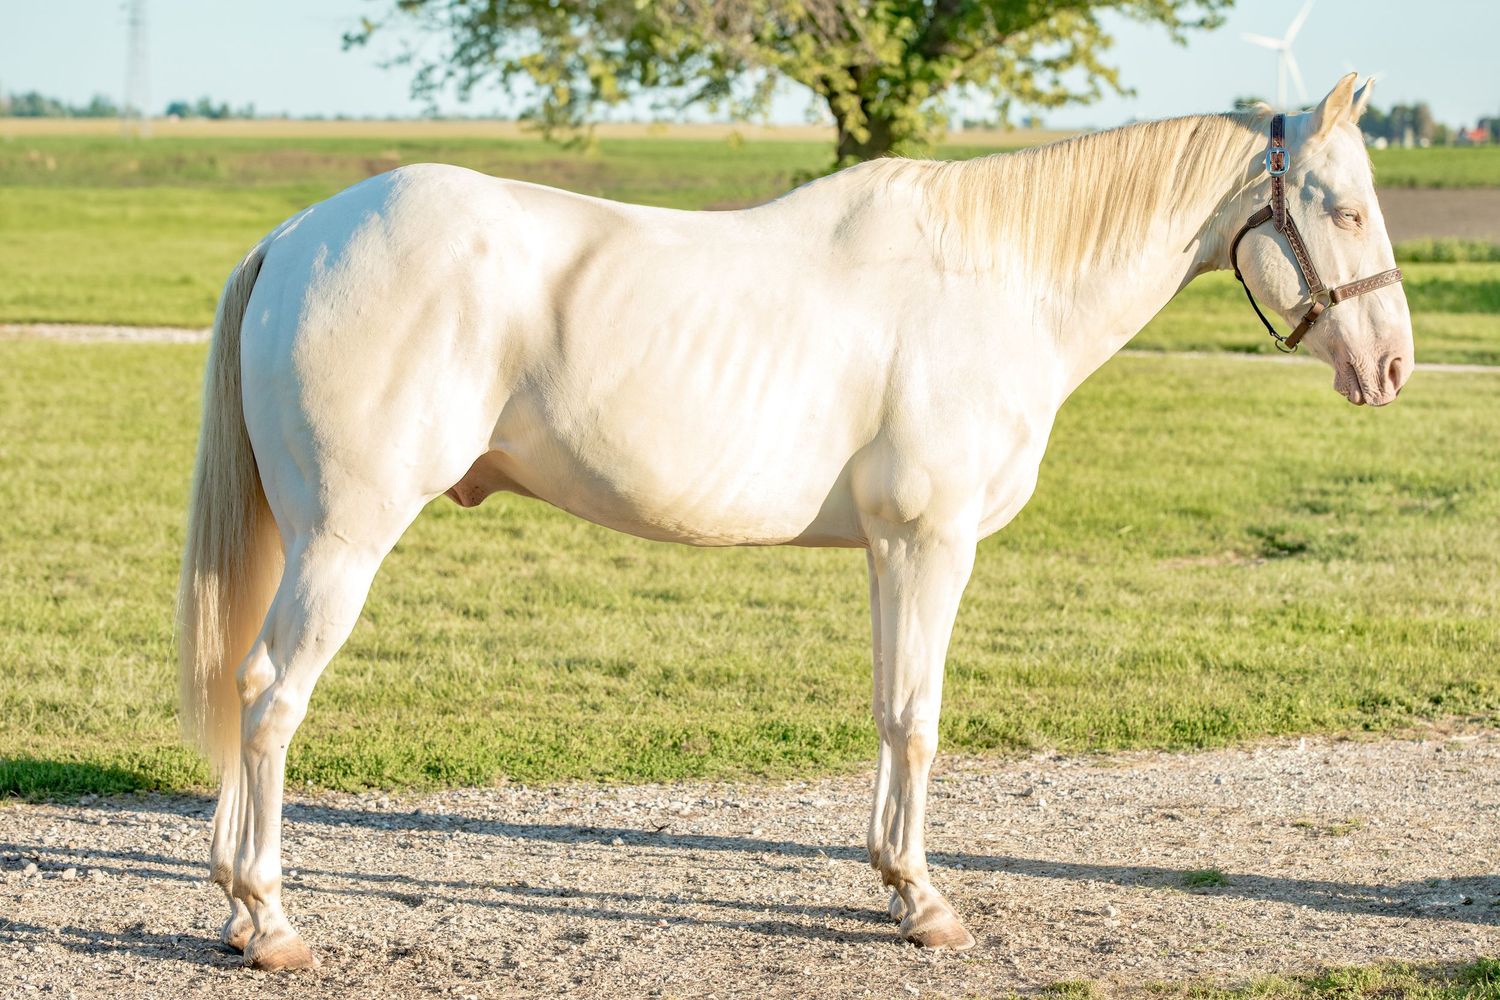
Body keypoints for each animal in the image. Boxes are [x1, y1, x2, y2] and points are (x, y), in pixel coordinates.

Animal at [178, 74, 1412, 970]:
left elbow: (887, 709)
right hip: (344, 540)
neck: (995, 281)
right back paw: (271, 920)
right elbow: (919, 716)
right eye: (1345, 208)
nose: (1392, 367)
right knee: (271, 698)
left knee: (246, 688)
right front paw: (926, 903)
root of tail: (297, 234)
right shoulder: (931, 542)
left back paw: (237, 910)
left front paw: (893, 882)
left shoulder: (889, 551)